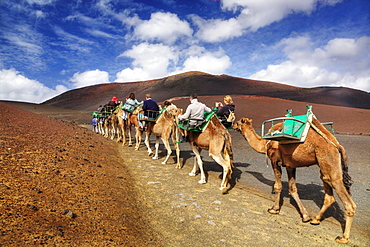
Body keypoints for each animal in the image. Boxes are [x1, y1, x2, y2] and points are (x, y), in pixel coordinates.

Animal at [233, 116, 356, 244]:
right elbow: (293, 189)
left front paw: (274, 209)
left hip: (330, 164)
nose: (232, 125)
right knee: (328, 193)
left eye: (238, 122)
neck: (265, 143)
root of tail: (337, 145)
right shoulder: (290, 165)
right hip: (324, 167)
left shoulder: (274, 160)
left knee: (348, 202)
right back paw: (315, 220)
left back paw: (343, 238)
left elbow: (278, 186)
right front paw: (306, 216)